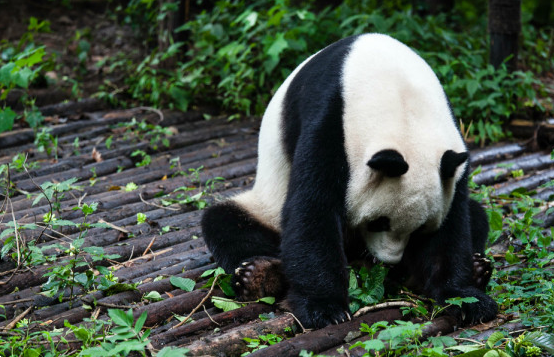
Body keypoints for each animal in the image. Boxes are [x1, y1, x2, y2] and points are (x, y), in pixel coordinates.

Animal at [202, 34, 496, 328]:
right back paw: (259, 275)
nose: (390, 260)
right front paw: (324, 308)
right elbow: (312, 208)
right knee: (227, 223)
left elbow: (453, 226)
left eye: (420, 228)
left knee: (478, 216)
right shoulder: (330, 121)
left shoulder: (452, 159)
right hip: (265, 206)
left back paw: (475, 268)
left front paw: (464, 299)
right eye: (379, 222)